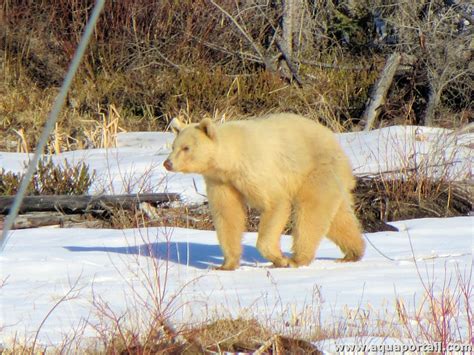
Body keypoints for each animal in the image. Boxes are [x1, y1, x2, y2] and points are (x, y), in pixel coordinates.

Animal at [164, 112, 366, 272]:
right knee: (338, 218)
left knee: (310, 212)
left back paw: (297, 259)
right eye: (173, 146)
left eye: (186, 148)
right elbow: (227, 215)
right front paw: (226, 265)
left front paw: (280, 259)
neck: (230, 158)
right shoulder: (221, 180)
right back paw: (353, 252)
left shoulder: (254, 168)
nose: (167, 163)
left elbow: (275, 202)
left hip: (316, 170)